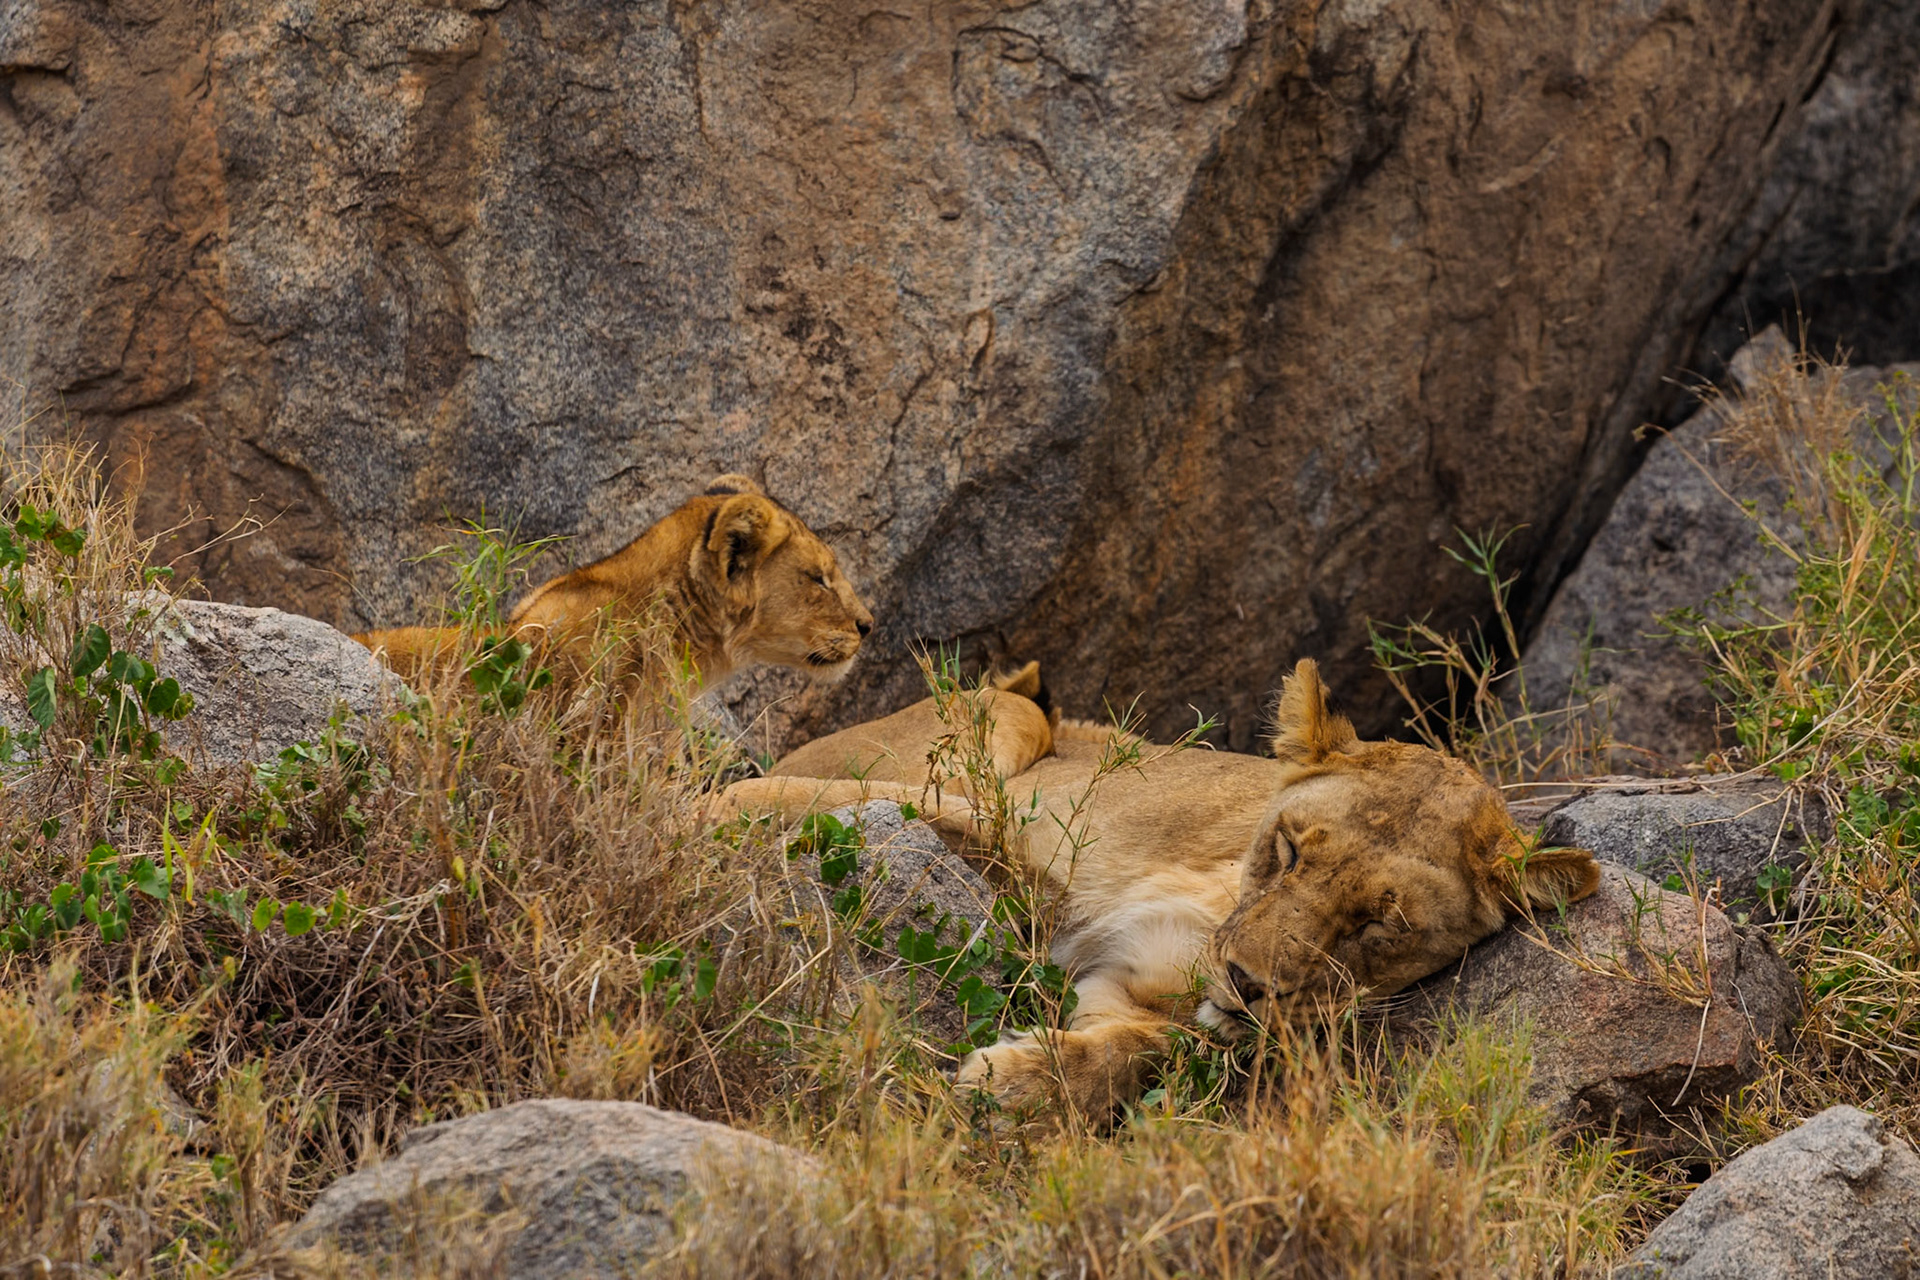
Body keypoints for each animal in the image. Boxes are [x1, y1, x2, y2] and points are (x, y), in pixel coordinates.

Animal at [717, 659, 1599, 1117]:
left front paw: (1013, 1082)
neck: (1216, 895)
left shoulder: (1125, 988)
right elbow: (844, 800)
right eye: (1289, 848)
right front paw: (704, 813)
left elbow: (1133, 1050)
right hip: (1008, 719)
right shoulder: (1014, 832)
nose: (1246, 981)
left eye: (1381, 925)